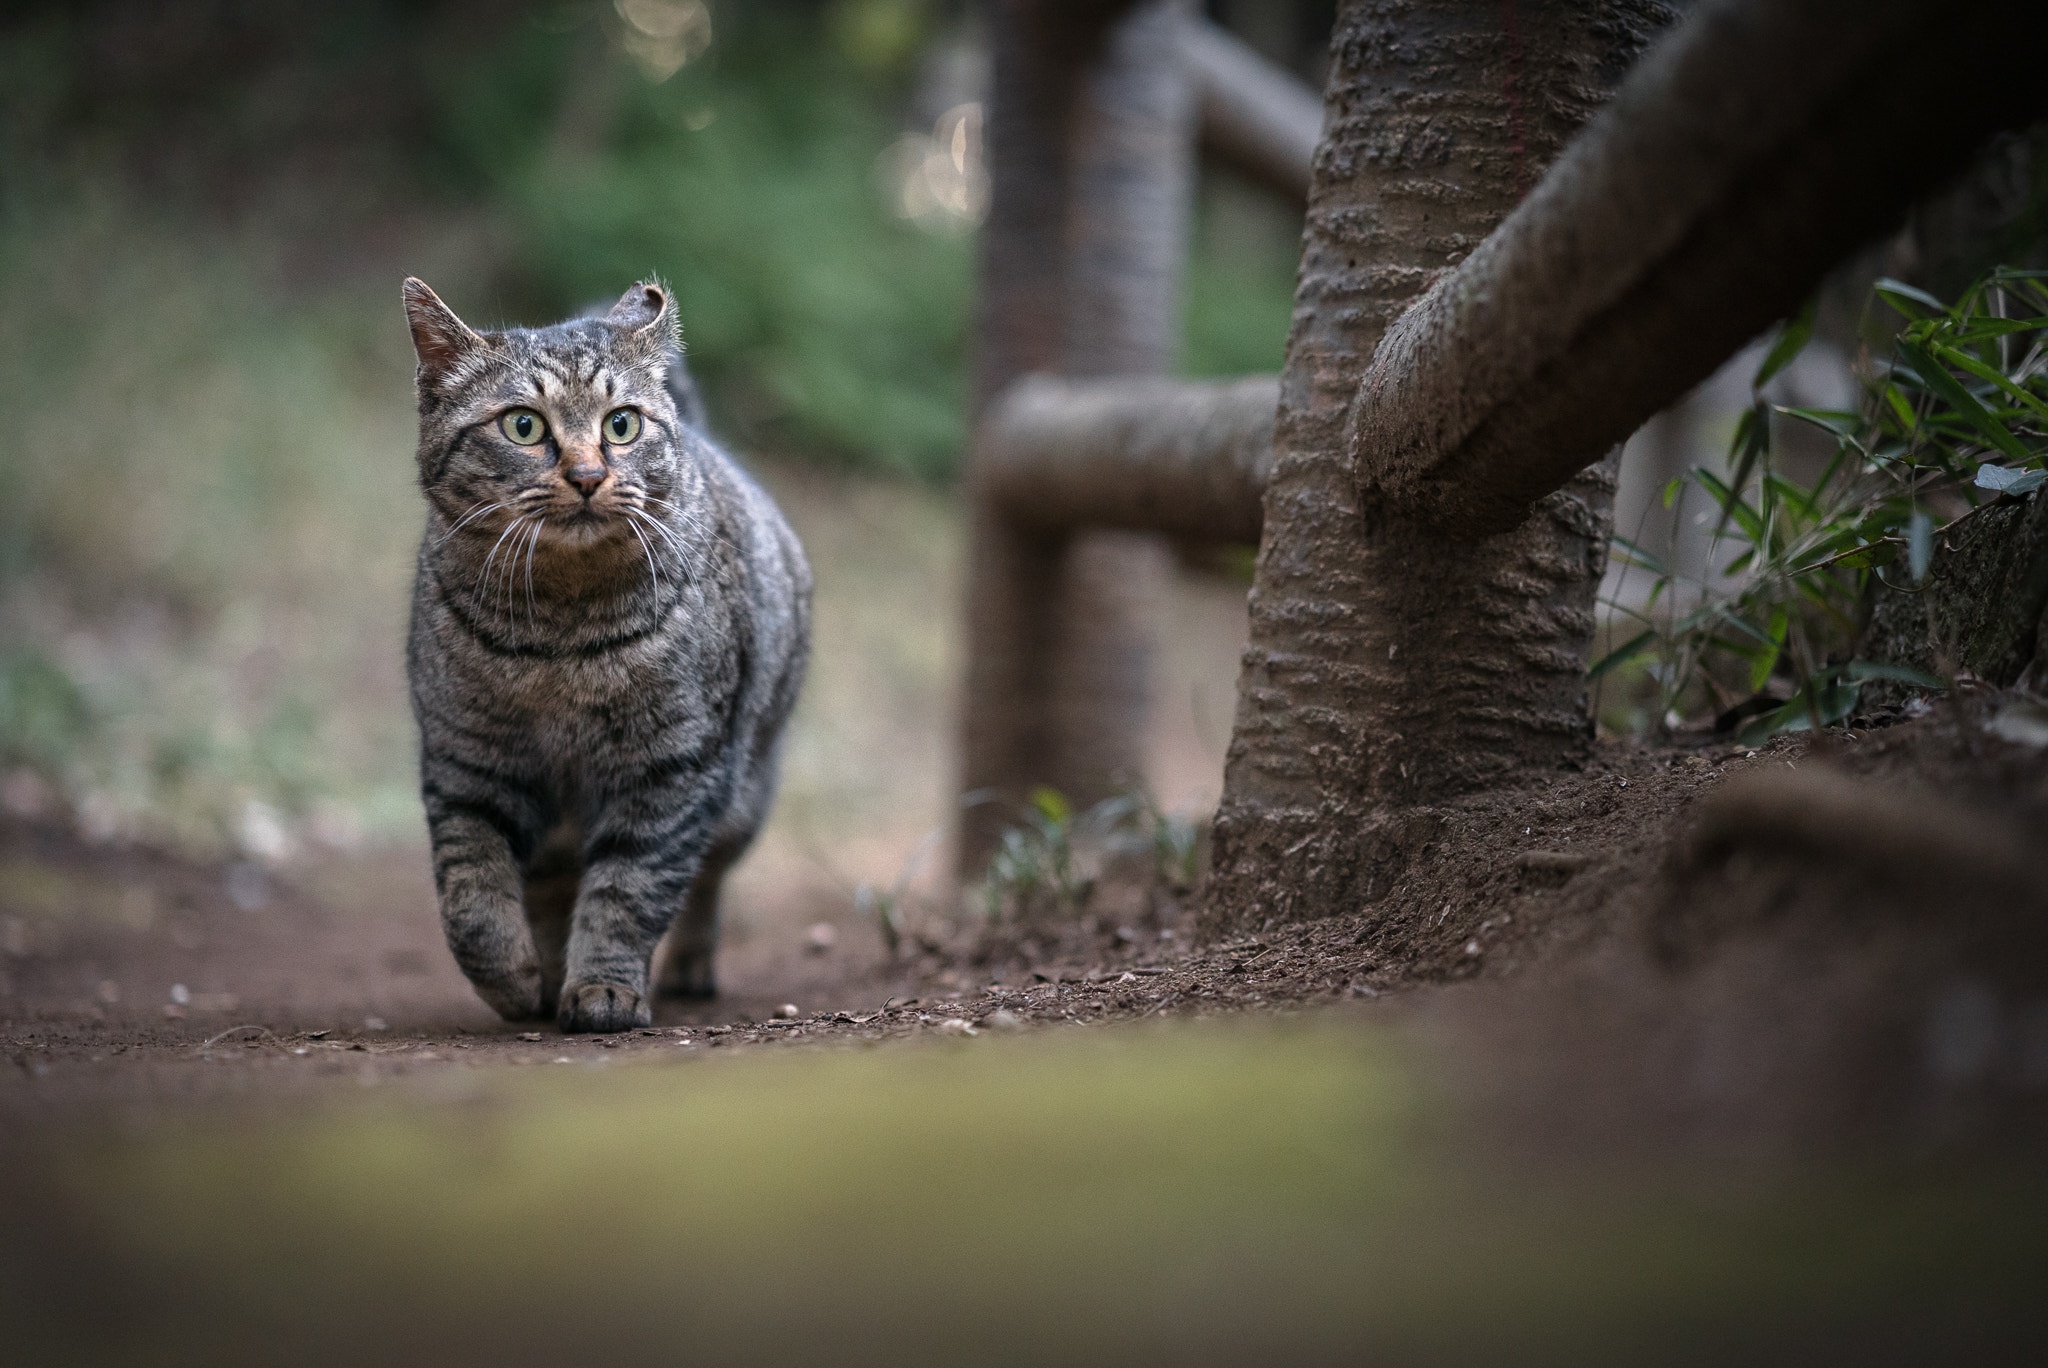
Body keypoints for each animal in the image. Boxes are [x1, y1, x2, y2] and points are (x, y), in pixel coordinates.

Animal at [403, 278, 811, 1032]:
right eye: (524, 426)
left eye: (620, 425)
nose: (589, 474)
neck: (558, 640)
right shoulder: (467, 764)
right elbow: (471, 899)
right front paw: (515, 980)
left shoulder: (673, 769)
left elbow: (628, 890)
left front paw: (603, 988)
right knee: (548, 885)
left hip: (745, 794)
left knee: (705, 881)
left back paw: (686, 968)